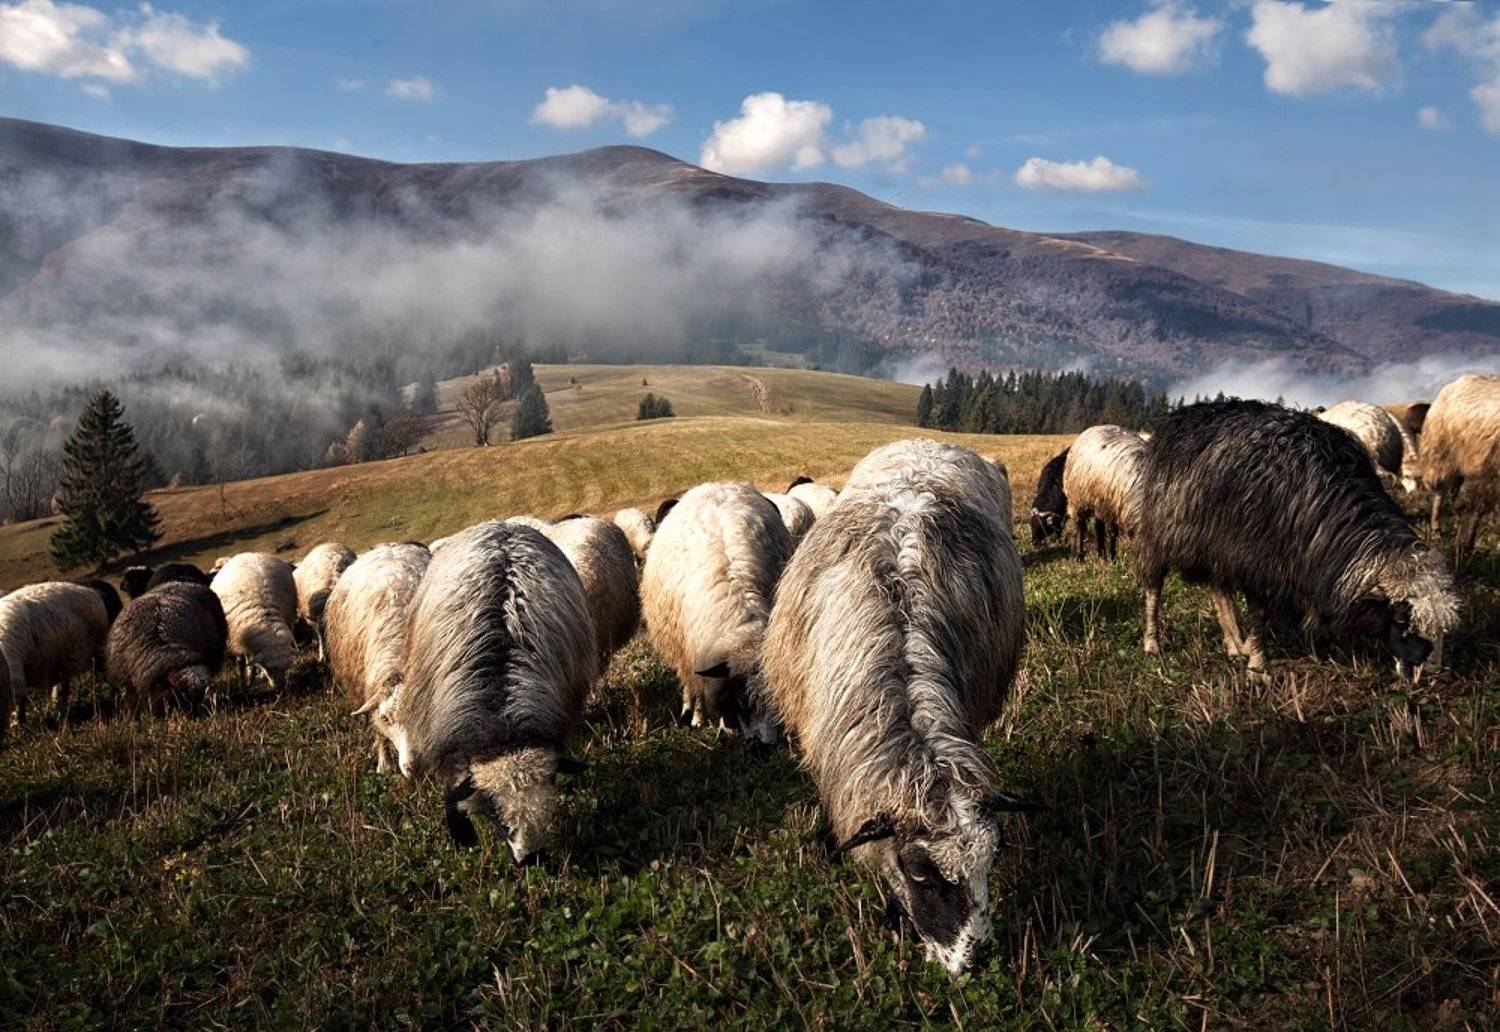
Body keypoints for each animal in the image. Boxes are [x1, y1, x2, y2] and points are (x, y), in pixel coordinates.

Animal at [0, 582, 111, 743]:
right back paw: (58, 709)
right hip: (63, 662)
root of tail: (91, 591)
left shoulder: (15, 678)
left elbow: (19, 705)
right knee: (62, 688)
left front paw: (19, 728)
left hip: (99, 649)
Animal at [210, 554, 299, 690]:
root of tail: (248, 554)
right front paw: (243, 685)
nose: (280, 688)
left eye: (287, 667)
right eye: (268, 668)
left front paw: (252, 677)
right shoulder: (237, 637)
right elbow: (241, 664)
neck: (263, 612)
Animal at [641, 481, 793, 734]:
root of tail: (717, 484)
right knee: (688, 681)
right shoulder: (695, 652)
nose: (766, 743)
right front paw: (700, 718)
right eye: (741, 698)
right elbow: (699, 688)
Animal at [1062, 426, 1146, 561]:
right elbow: (1112, 532)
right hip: (1078, 499)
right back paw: (1080, 555)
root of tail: (1096, 427)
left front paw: (1108, 556)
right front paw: (1112, 557)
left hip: (1097, 501)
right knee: (1080, 526)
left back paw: (1101, 554)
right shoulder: (1111, 506)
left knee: (1098, 527)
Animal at [1136, 400, 1460, 682]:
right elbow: (1260, 615)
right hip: (1162, 531)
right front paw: (1258, 668)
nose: (1430, 675)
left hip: (1217, 543)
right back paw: (1153, 644)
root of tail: (1187, 414)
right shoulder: (1259, 561)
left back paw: (1234, 646)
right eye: (1405, 623)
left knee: (1220, 591)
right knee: (1154, 586)